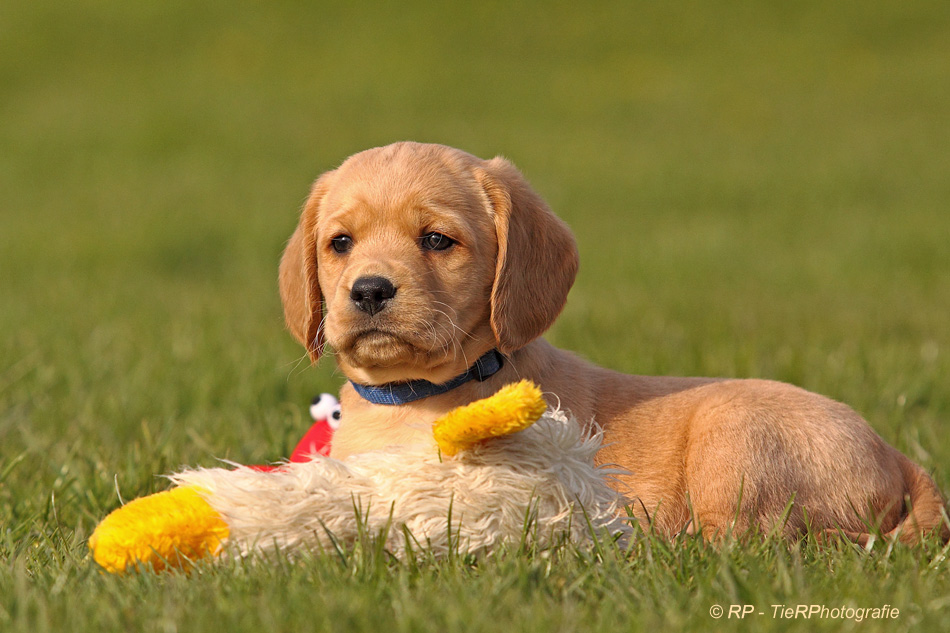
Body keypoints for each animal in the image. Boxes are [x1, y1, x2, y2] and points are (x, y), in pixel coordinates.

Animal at [278, 143, 948, 544]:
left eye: (438, 241)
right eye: (341, 243)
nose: (369, 290)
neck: (412, 394)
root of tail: (893, 452)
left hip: (733, 441)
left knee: (763, 541)